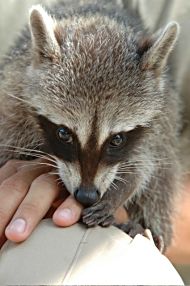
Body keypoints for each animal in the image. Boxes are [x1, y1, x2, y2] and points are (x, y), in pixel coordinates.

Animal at [0, 0, 181, 250]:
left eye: (117, 139)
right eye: (63, 133)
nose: (87, 197)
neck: (98, 21)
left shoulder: (156, 124)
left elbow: (144, 165)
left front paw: (121, 189)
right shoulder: (14, 100)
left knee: (161, 183)